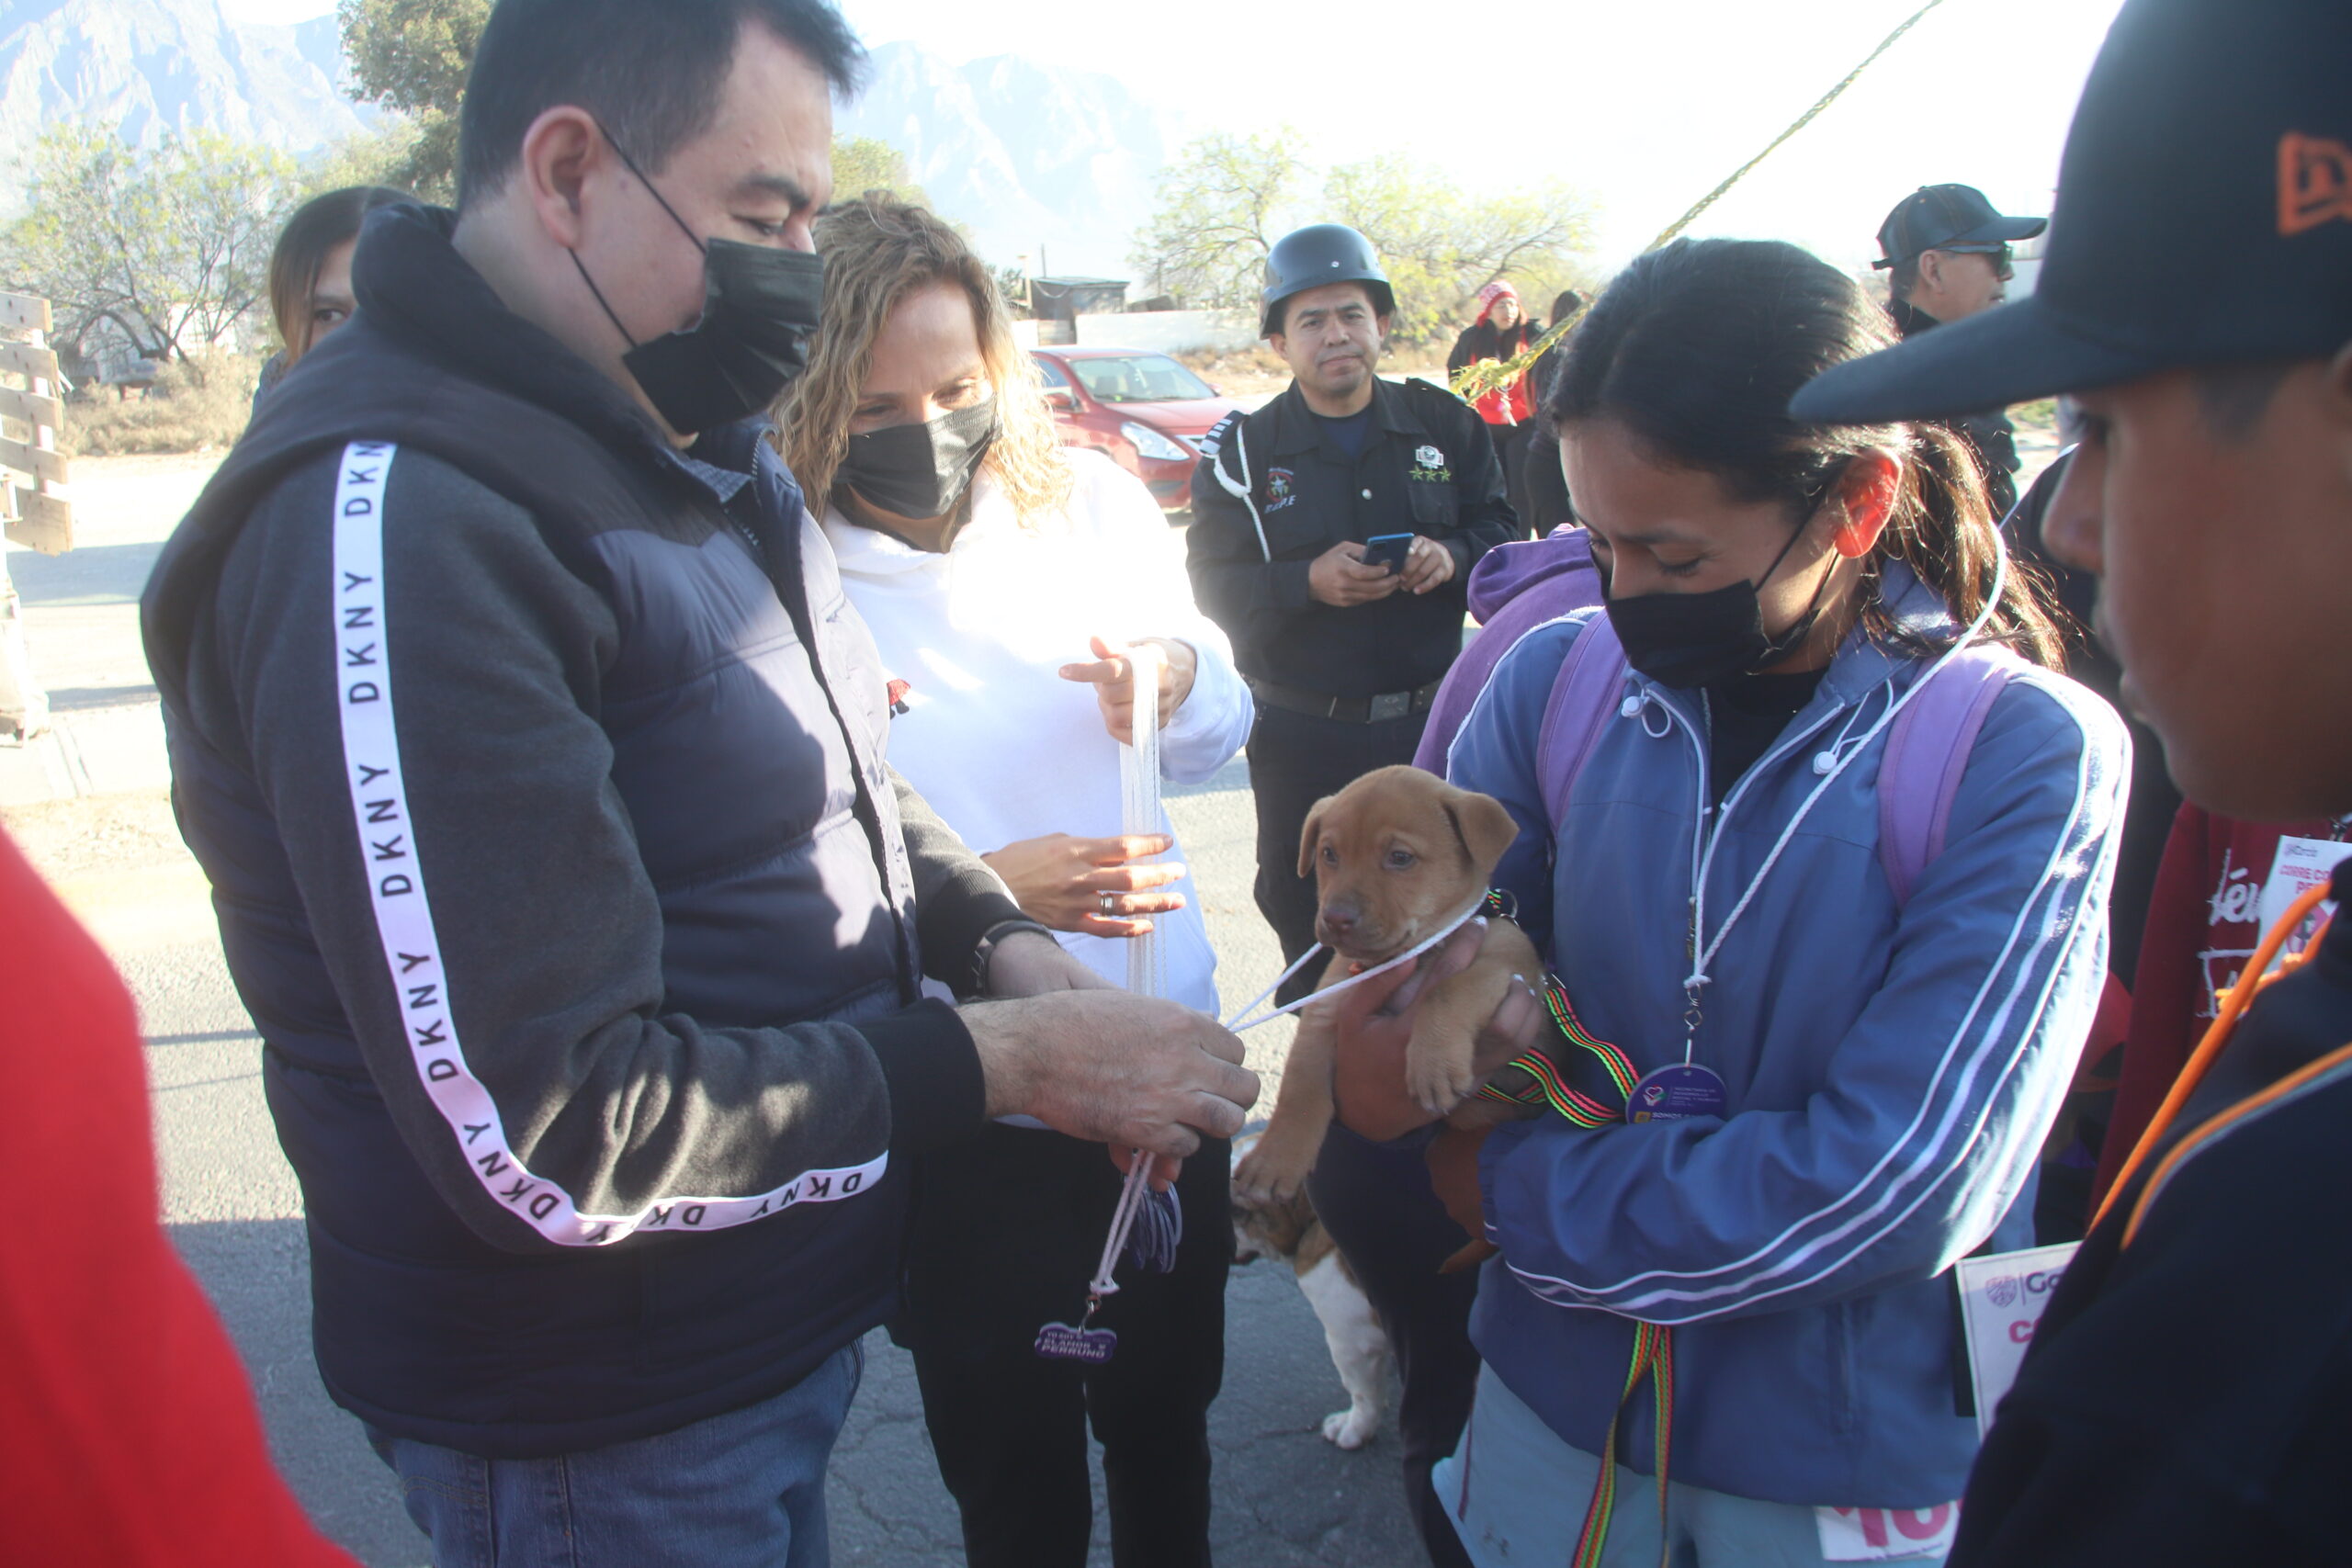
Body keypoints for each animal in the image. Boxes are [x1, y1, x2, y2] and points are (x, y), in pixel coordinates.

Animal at [1232, 771, 1543, 1203]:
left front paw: (1433, 1063)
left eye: (1400, 858)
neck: (1415, 954)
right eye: (1329, 854)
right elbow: (1300, 1088)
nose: (1336, 918)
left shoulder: (1509, 967)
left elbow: (1447, 989)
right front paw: (1273, 1160)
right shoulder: (1325, 1012)